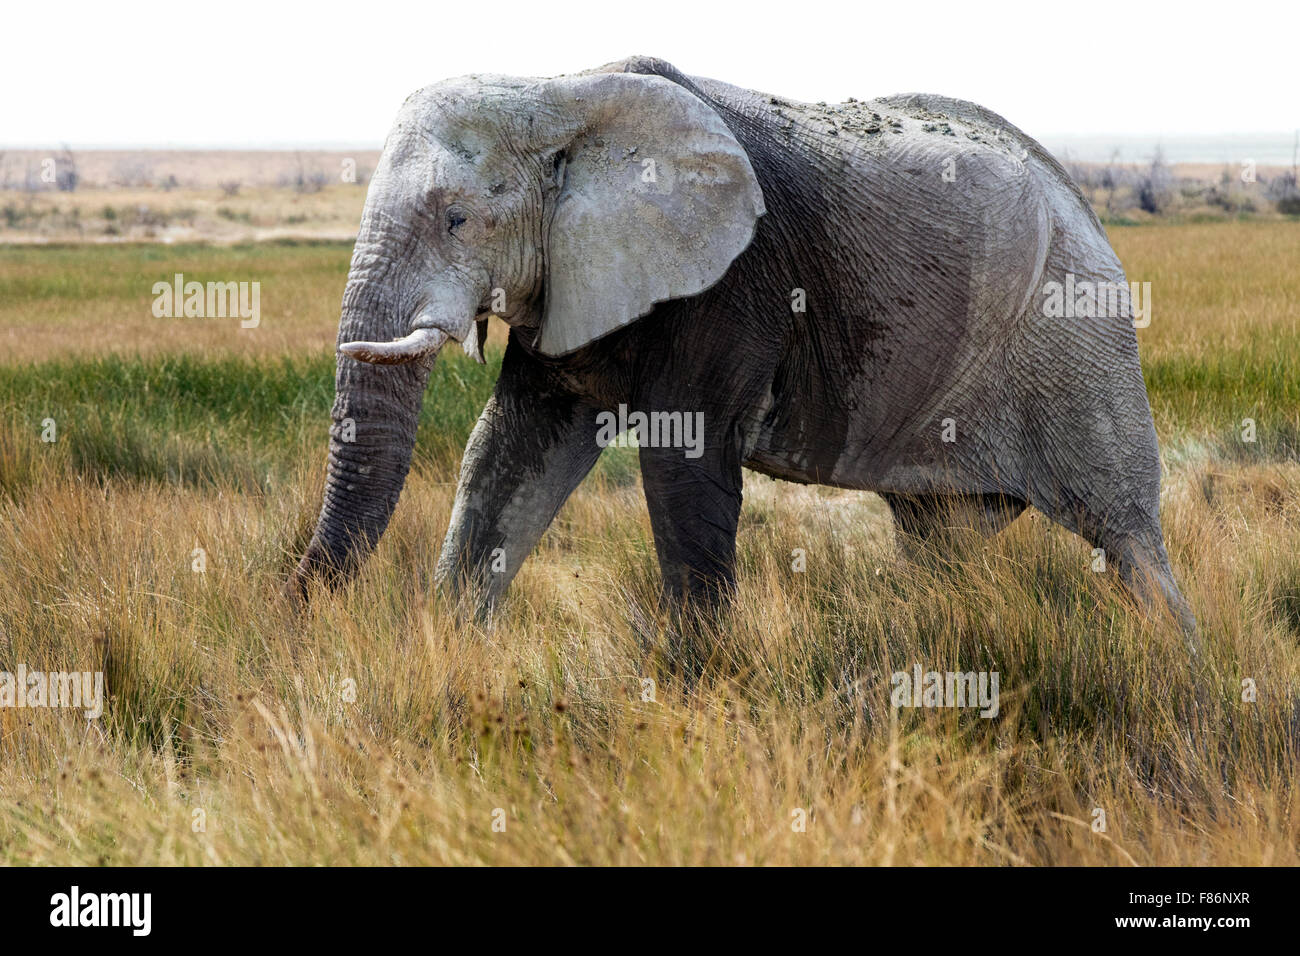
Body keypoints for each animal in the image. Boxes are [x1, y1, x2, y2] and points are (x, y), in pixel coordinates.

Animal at [287, 50, 1196, 634]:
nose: (292, 611)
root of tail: (1087, 206)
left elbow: (681, 464)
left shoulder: (731, 286)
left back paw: (1176, 672)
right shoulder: (571, 275)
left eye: (457, 218)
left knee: (1126, 534)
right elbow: (508, 448)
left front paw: (693, 694)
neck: (559, 90)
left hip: (1077, 340)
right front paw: (451, 648)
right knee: (944, 539)